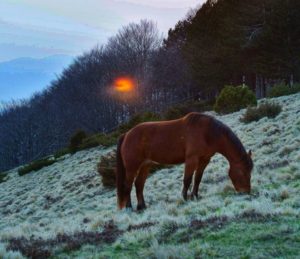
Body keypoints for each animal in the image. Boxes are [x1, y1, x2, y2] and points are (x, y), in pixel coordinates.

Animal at [116, 112, 252, 210]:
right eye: (243, 172)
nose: (246, 192)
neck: (207, 133)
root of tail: (126, 134)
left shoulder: (204, 160)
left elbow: (197, 179)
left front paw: (195, 196)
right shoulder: (192, 159)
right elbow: (187, 179)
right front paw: (185, 199)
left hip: (145, 165)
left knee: (139, 184)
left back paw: (142, 207)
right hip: (132, 167)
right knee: (127, 185)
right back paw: (129, 207)